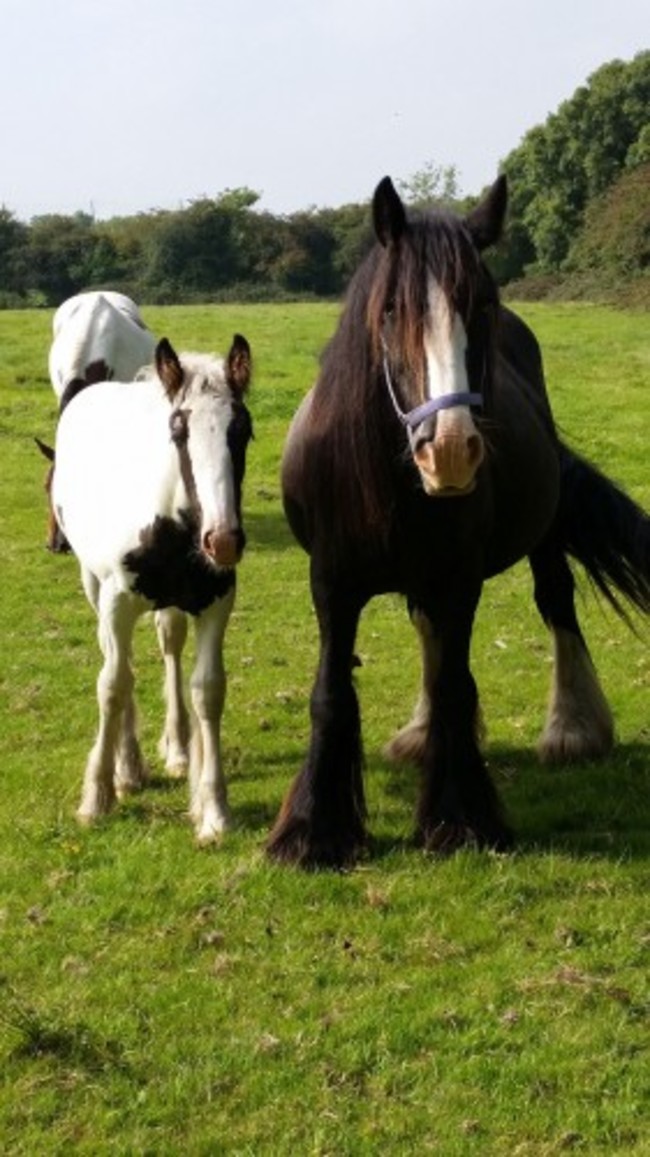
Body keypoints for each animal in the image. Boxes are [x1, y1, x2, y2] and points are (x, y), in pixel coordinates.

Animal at [52, 334, 253, 842]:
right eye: (178, 430)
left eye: (242, 430)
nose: (223, 541)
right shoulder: (117, 602)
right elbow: (113, 683)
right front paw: (99, 795)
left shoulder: (216, 602)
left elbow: (208, 689)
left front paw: (213, 809)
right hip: (94, 586)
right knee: (115, 660)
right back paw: (128, 767)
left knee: (169, 644)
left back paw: (178, 750)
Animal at [267, 174, 649, 869]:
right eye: (392, 310)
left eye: (483, 307)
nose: (448, 449)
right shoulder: (332, 582)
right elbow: (331, 693)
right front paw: (315, 830)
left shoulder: (459, 580)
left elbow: (455, 684)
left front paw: (458, 819)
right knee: (428, 628)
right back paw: (421, 735)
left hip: (541, 535)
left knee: (556, 600)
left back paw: (575, 727)